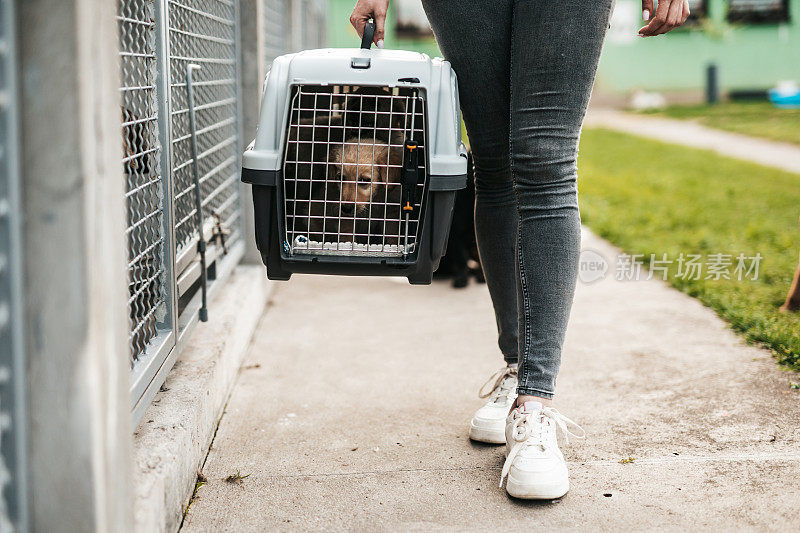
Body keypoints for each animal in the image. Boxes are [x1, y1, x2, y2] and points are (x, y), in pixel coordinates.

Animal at [241, 21, 466, 282]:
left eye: (380, 110)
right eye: (357, 112)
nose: (347, 208)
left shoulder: (391, 216)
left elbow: (391, 235)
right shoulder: (347, 223)